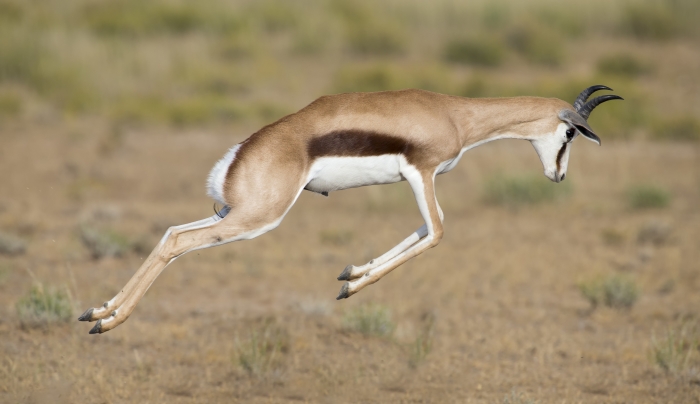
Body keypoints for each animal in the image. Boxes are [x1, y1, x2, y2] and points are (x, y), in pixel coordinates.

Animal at [79, 85, 621, 334]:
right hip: (257, 219)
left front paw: (350, 275)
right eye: (570, 133)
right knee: (180, 241)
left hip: (228, 212)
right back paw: (110, 322)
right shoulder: (421, 174)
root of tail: (242, 151)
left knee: (171, 232)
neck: (455, 115)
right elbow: (437, 233)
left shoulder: (420, 182)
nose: (559, 176)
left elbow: (422, 231)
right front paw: (353, 286)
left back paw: (98, 311)